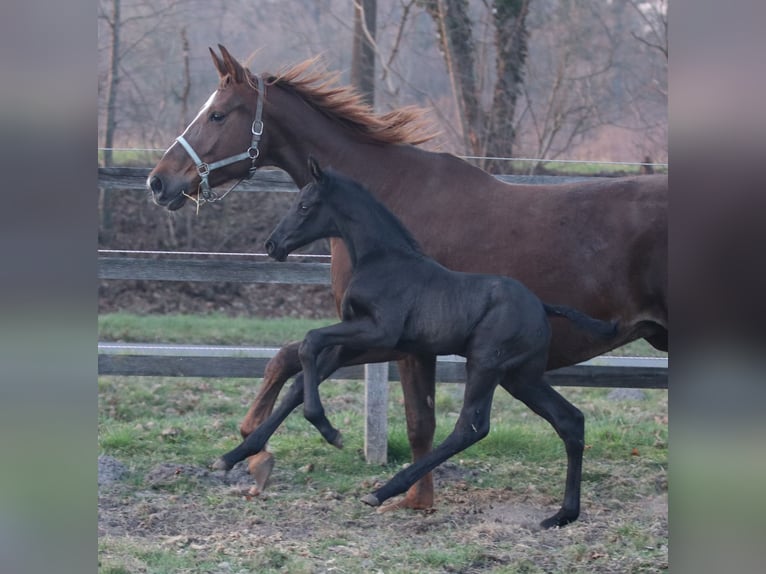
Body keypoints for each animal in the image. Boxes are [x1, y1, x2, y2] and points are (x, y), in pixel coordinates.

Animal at [247, 157, 616, 527]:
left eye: (304, 205)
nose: (272, 245)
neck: (383, 260)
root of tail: (542, 305)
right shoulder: (355, 336)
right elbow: (306, 362)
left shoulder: (379, 331)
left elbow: (310, 341)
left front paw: (328, 429)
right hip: (520, 376)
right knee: (569, 419)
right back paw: (563, 513)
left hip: (485, 364)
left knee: (471, 427)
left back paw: (383, 491)